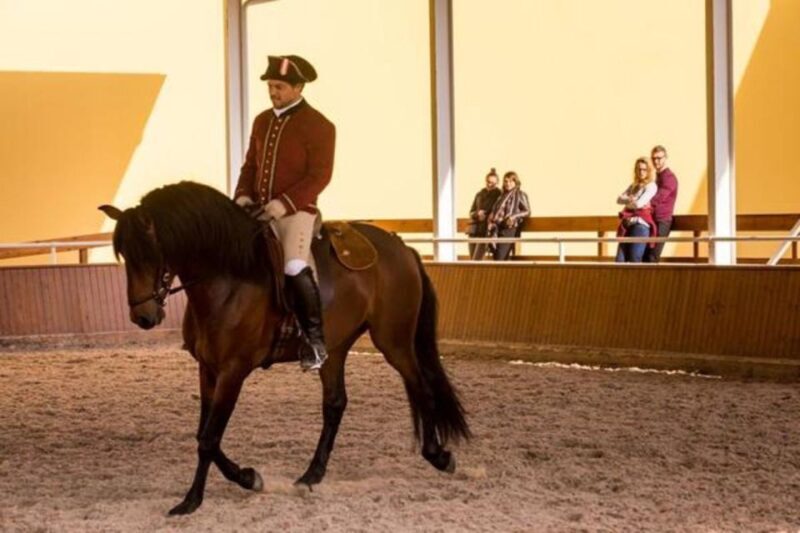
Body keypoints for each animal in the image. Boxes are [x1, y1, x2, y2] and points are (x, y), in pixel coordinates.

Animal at [99, 181, 470, 515]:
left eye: (151, 253)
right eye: (125, 256)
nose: (143, 317)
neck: (227, 278)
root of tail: (400, 247)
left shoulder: (233, 371)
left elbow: (209, 439)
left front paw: (196, 499)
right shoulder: (208, 368)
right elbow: (204, 435)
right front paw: (243, 479)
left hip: (394, 341)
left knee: (421, 388)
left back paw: (438, 455)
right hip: (336, 348)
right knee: (335, 404)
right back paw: (311, 475)